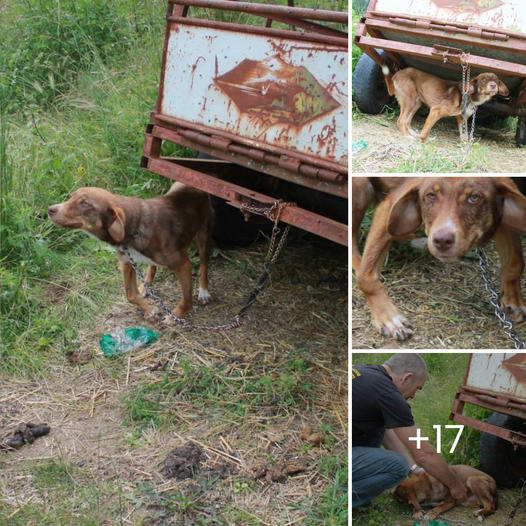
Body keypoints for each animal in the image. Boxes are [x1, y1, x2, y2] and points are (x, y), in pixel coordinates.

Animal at [384, 66, 512, 144]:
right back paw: (407, 136)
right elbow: (426, 131)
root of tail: (395, 75)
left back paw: (412, 133)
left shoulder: (462, 118)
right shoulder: (436, 110)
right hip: (409, 100)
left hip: (416, 103)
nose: (493, 85)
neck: (469, 97)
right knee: (401, 121)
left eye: (496, 80)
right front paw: (423, 142)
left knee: (407, 121)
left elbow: (464, 135)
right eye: (483, 80)